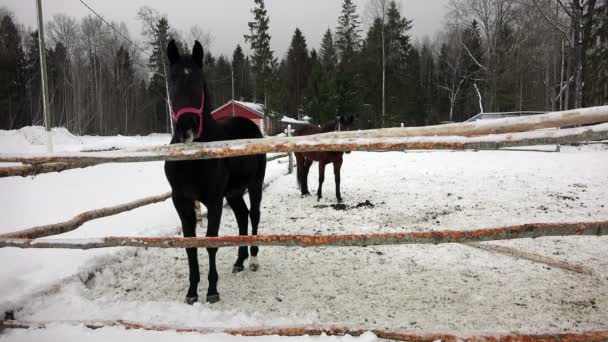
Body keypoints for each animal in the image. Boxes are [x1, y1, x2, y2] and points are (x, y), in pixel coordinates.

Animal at [164, 40, 266, 304]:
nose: (187, 125)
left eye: (199, 79)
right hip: (234, 193)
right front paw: (191, 291)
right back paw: (239, 261)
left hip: (254, 186)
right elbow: (191, 245)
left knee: (253, 215)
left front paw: (212, 290)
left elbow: (211, 242)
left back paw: (253, 259)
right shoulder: (181, 200)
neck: (193, 158)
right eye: (172, 78)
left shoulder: (214, 199)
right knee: (242, 216)